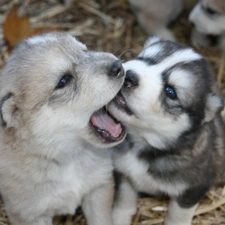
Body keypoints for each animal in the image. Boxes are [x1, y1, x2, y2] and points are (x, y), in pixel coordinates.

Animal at [0, 31, 126, 225]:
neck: (68, 157)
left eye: (85, 50)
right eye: (64, 80)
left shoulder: (99, 188)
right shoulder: (31, 215)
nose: (117, 65)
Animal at [108, 36, 225, 225]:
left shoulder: (192, 190)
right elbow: (124, 197)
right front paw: (119, 217)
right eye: (143, 58)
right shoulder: (124, 172)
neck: (144, 143)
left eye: (171, 92)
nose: (129, 76)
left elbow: (177, 215)